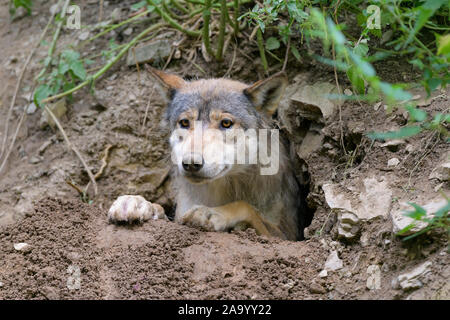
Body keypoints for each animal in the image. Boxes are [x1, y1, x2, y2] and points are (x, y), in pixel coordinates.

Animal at [107, 67, 308, 240]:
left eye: (226, 123)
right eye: (185, 122)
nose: (191, 163)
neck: (223, 189)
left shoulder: (286, 235)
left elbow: (246, 207)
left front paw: (212, 213)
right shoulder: (179, 214)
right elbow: (162, 211)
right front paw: (137, 203)